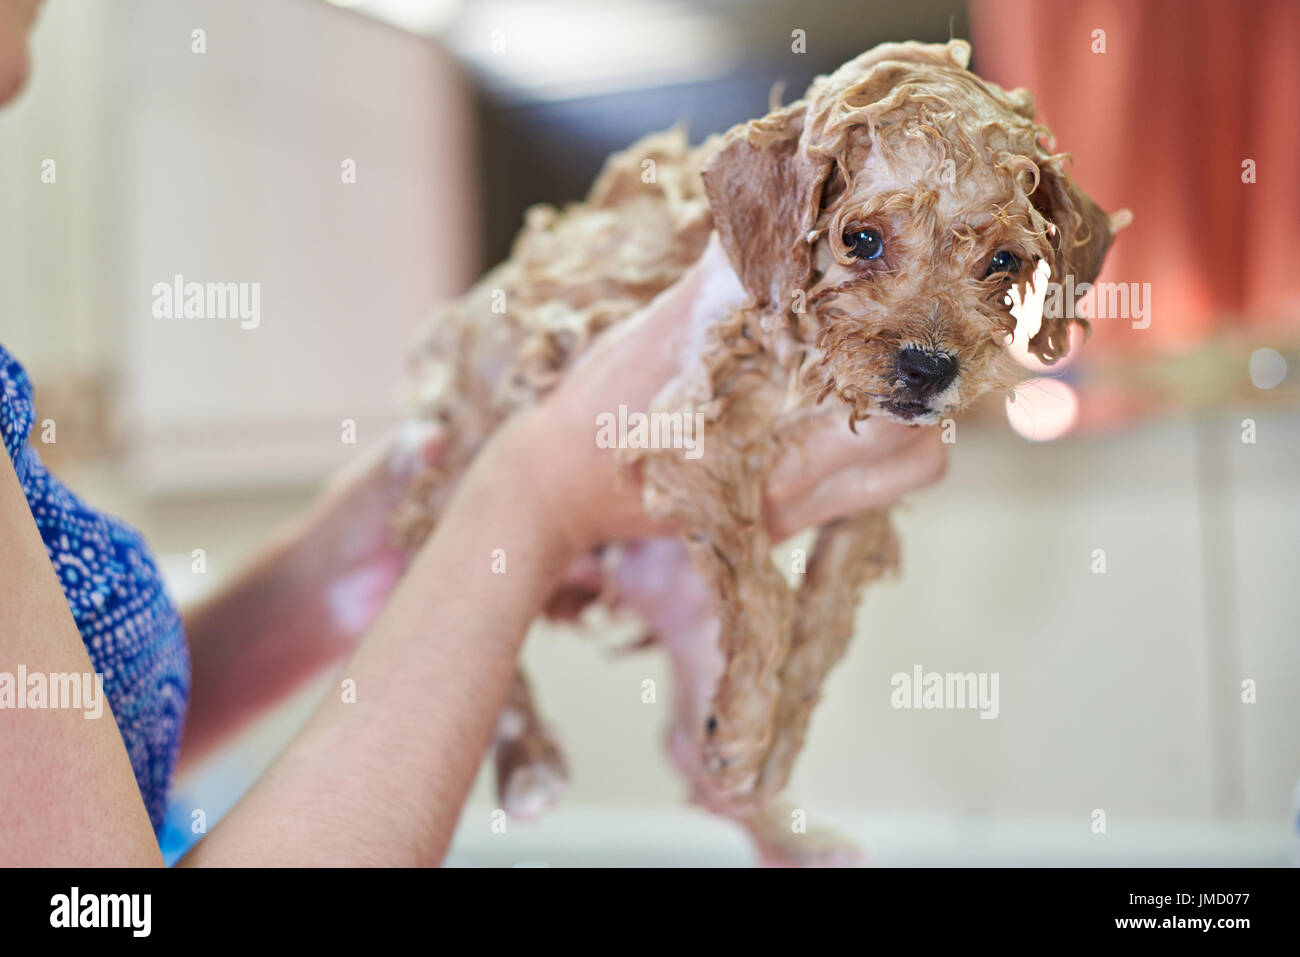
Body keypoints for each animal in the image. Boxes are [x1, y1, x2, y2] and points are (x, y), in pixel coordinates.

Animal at [400, 39, 1123, 868]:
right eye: (859, 239)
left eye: (1003, 261)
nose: (930, 368)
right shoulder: (682, 433)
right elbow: (768, 594)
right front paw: (752, 723)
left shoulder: (868, 495)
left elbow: (820, 623)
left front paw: (768, 742)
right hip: (458, 489)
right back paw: (531, 762)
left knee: (690, 759)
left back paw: (785, 826)